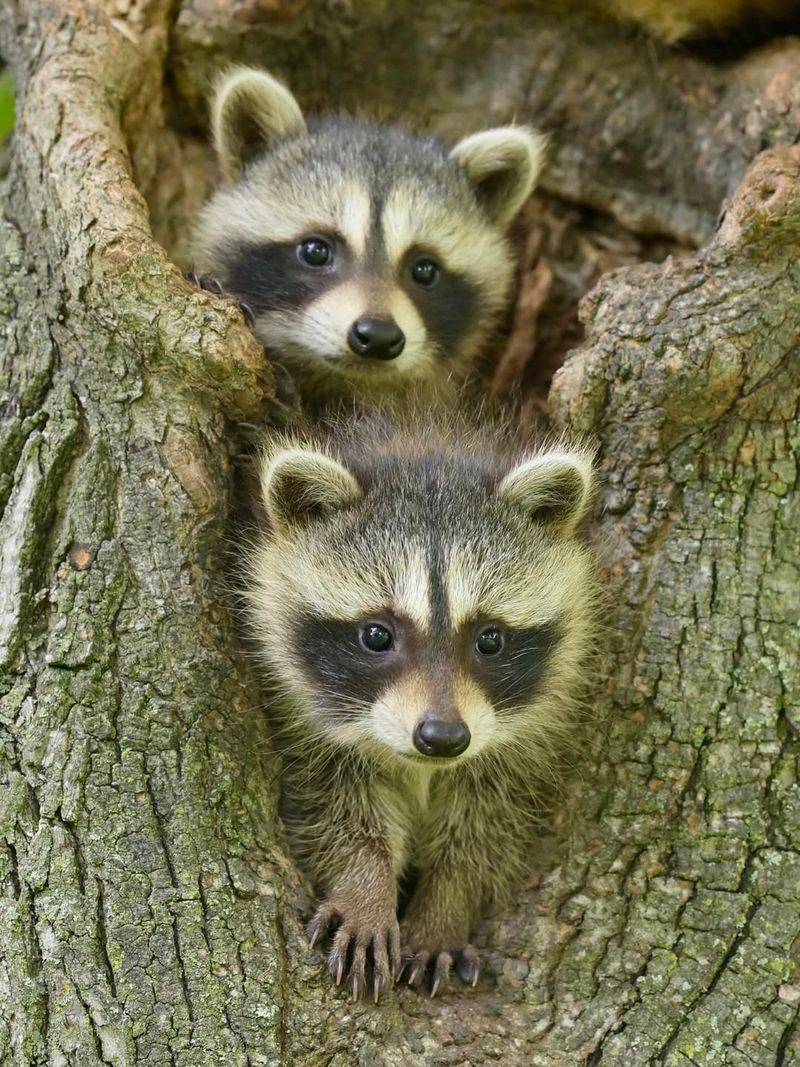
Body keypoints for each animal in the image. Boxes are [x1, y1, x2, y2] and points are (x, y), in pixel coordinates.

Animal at [244, 409, 599, 999]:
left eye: (489, 639)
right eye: (376, 635)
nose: (443, 737)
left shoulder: (520, 745)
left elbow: (484, 830)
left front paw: (445, 906)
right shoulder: (301, 722)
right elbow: (335, 809)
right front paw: (365, 887)